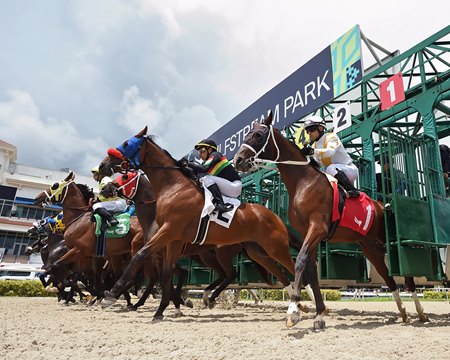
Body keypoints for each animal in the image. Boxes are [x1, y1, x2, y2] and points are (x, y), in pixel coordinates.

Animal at [97, 126, 310, 320]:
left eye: (127, 144)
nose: (101, 166)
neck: (174, 187)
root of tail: (274, 216)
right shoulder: (172, 242)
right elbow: (166, 274)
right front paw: (162, 310)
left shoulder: (167, 232)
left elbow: (140, 257)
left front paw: (110, 296)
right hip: (256, 251)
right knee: (277, 273)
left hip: (263, 248)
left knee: (279, 269)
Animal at [234, 111, 428, 328]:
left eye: (258, 135)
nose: (238, 160)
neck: (303, 182)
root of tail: (380, 205)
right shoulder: (308, 233)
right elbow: (311, 270)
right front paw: (319, 314)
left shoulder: (318, 228)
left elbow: (300, 261)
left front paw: (293, 311)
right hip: (368, 245)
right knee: (386, 275)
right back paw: (403, 311)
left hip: (383, 237)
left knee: (405, 275)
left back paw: (420, 312)